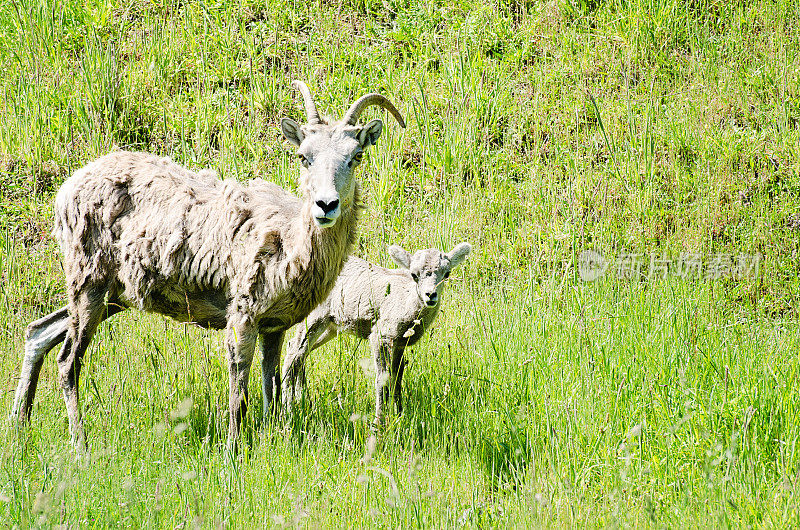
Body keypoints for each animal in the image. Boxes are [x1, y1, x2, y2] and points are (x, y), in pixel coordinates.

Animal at [9, 80, 404, 448]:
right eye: (304, 156)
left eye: (356, 156)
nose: (326, 205)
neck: (290, 239)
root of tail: (66, 189)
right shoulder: (242, 314)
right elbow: (239, 390)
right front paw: (233, 452)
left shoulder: (274, 326)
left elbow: (271, 387)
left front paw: (273, 439)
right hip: (89, 279)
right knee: (67, 361)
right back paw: (80, 445)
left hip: (110, 294)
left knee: (39, 332)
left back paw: (20, 425)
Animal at [282, 242, 472, 420]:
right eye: (414, 275)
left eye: (447, 273)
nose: (430, 295)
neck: (406, 304)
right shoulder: (381, 336)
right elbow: (382, 380)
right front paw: (379, 421)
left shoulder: (400, 343)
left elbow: (397, 378)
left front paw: (399, 415)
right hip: (315, 316)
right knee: (293, 354)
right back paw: (288, 411)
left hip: (331, 326)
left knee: (298, 353)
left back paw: (303, 401)